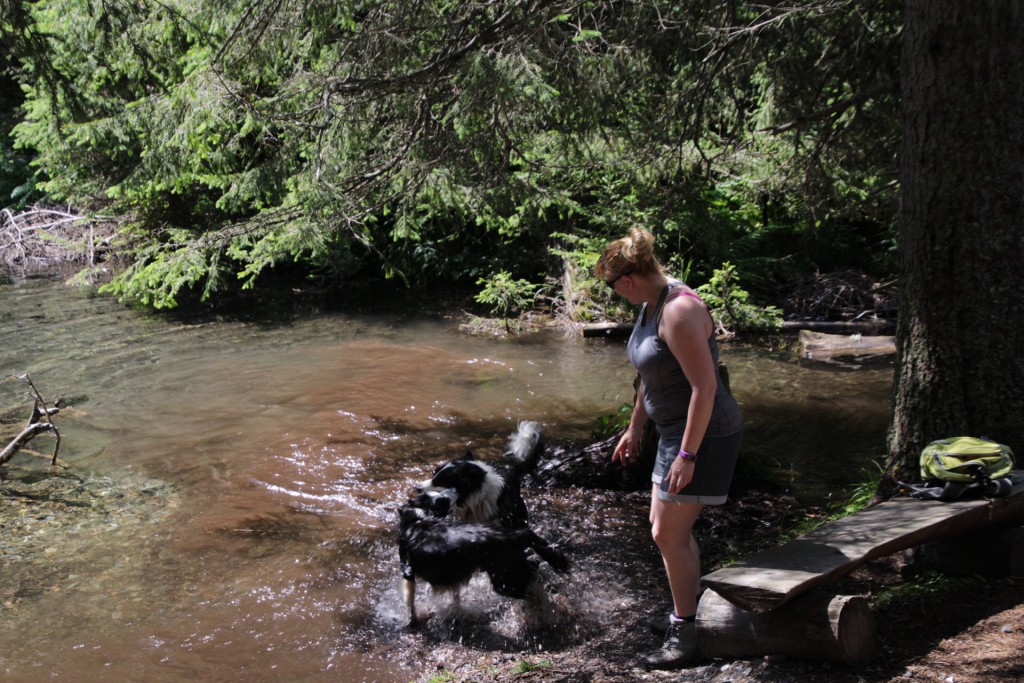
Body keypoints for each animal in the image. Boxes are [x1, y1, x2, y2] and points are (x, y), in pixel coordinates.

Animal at [395, 491, 569, 630]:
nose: (455, 492)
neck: (419, 517)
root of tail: (513, 535)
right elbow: (456, 597)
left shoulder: (407, 571)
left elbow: (410, 602)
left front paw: (411, 622)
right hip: (515, 569)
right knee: (536, 576)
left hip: (505, 581)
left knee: (532, 591)